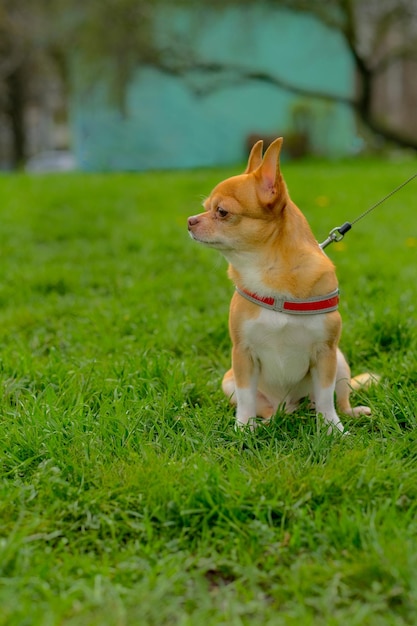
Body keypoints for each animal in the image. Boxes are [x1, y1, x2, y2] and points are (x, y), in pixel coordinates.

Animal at [187, 135, 372, 428]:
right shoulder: (242, 355)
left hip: (340, 361)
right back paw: (265, 423)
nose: (189, 221)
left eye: (222, 212)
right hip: (229, 380)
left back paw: (349, 413)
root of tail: (291, 407)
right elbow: (246, 398)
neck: (270, 271)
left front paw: (333, 430)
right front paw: (243, 428)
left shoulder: (326, 354)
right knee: (266, 409)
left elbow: (326, 398)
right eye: (205, 209)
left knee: (337, 399)